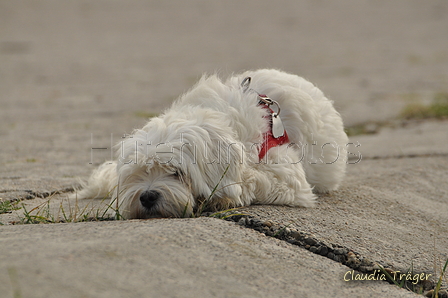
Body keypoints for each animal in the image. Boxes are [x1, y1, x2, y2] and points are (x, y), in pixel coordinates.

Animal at [72, 70, 348, 219]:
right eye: (139, 174)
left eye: (177, 173)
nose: (148, 196)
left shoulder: (287, 174)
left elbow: (254, 179)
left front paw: (223, 197)